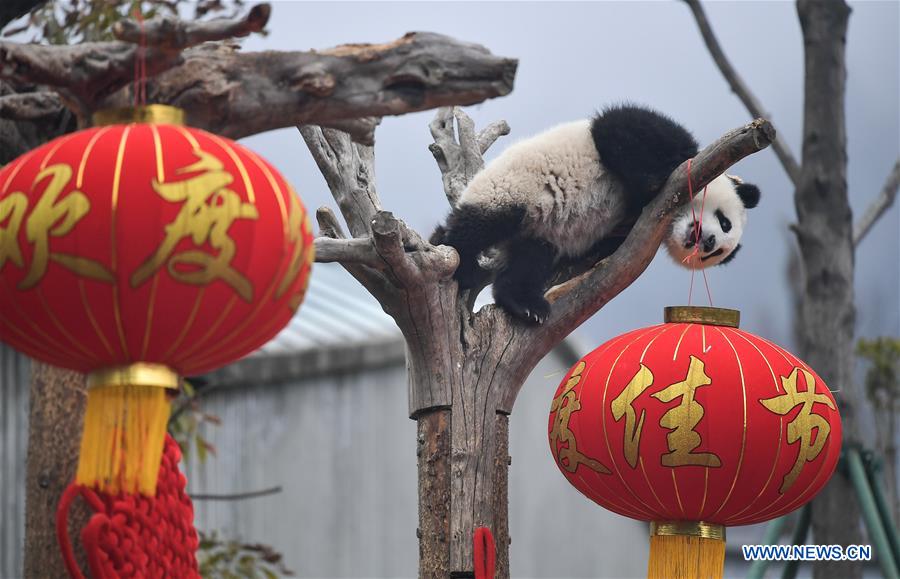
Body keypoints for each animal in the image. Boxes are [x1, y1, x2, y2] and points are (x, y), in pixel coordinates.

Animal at [428, 105, 760, 326]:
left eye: (715, 253)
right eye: (725, 222)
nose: (708, 241)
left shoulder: (625, 230)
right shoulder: (664, 141)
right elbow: (619, 129)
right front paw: (655, 179)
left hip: (538, 232)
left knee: (531, 258)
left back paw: (525, 304)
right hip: (512, 187)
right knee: (480, 224)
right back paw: (460, 260)